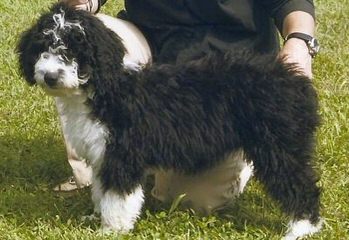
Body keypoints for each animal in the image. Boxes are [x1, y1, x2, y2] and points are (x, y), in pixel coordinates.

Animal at [16, 2, 320, 239]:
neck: (104, 88)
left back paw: (302, 228)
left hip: (279, 147)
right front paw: (96, 217)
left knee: (301, 184)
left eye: (73, 49)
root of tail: (290, 79)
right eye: (43, 46)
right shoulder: (103, 155)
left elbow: (117, 197)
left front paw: (111, 229)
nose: (50, 76)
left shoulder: (122, 154)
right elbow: (102, 191)